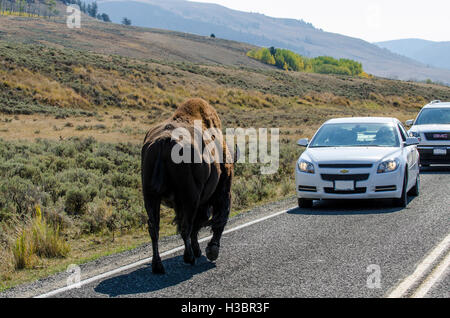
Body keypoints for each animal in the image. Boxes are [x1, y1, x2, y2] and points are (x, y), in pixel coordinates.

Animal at [142, 99, 236, 274]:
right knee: (187, 226)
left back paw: (158, 266)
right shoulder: (221, 192)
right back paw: (189, 257)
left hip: (150, 196)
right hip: (189, 197)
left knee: (154, 228)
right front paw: (211, 250)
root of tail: (163, 141)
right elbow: (218, 219)